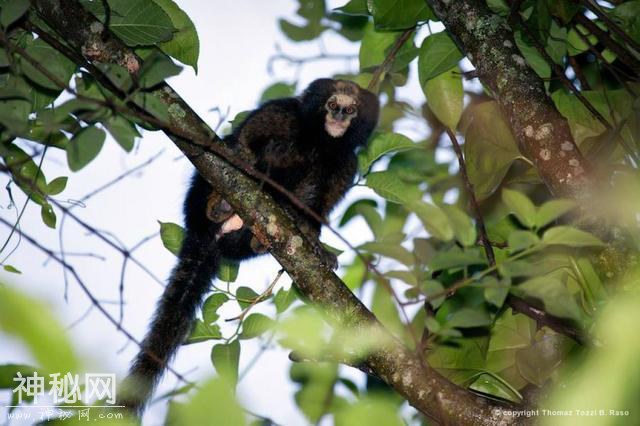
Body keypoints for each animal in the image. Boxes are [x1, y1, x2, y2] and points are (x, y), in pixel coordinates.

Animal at [119, 78, 378, 414]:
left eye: (350, 110)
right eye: (332, 105)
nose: (338, 117)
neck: (321, 141)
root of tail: (204, 235)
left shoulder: (347, 163)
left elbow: (318, 205)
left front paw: (314, 243)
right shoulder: (281, 111)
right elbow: (245, 140)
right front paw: (244, 155)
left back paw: (259, 237)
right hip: (198, 198)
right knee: (265, 151)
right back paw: (221, 206)